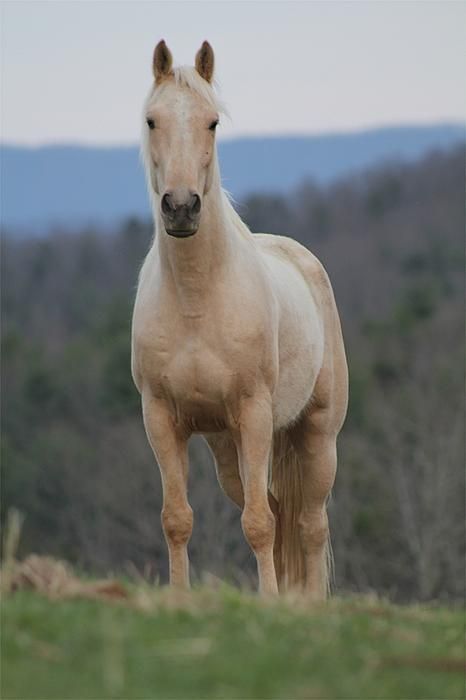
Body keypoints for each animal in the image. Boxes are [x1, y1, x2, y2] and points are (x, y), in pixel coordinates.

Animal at [130, 41, 346, 600]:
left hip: (317, 436)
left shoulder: (253, 414)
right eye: (152, 120)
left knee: (309, 524)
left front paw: (268, 603)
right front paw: (179, 599)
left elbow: (260, 525)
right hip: (226, 447)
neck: (197, 300)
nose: (181, 208)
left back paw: (309, 605)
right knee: (276, 507)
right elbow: (177, 519)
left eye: (212, 122)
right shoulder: (161, 419)